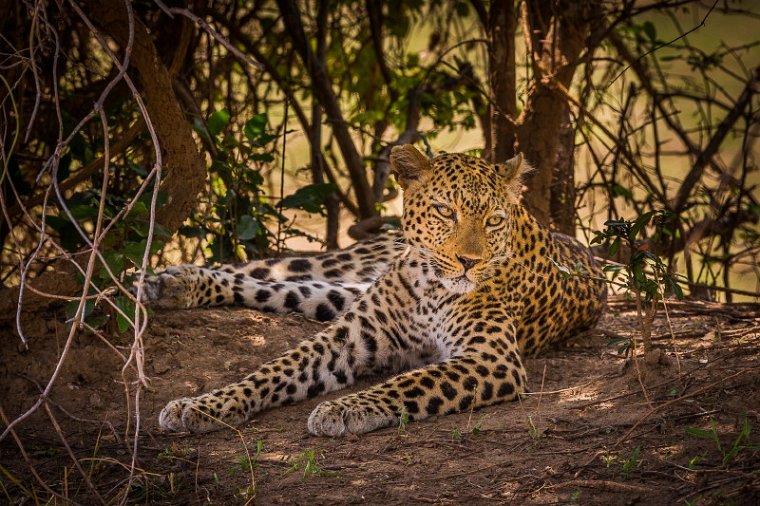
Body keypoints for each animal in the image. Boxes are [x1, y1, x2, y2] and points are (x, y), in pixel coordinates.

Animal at [141, 145, 604, 434]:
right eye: (444, 211)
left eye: (494, 220)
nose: (470, 261)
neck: (428, 284)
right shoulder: (347, 337)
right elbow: (274, 369)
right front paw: (201, 405)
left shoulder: (493, 359)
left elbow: (413, 382)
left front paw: (342, 409)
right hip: (346, 266)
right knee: (273, 268)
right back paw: (166, 281)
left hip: (339, 293)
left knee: (288, 289)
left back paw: (171, 285)